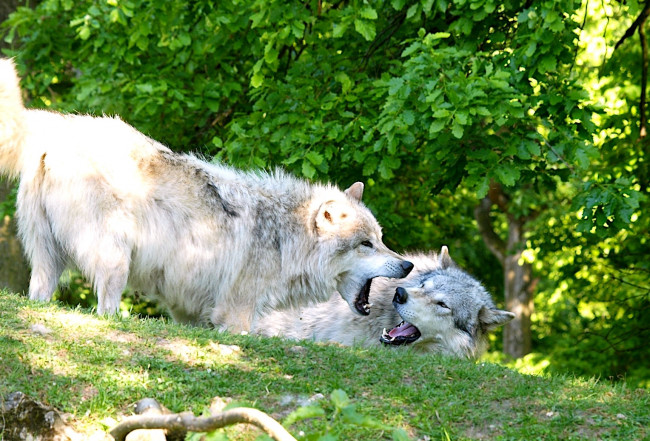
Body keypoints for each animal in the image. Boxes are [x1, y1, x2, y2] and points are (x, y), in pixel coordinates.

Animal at [0, 60, 410, 332]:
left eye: (381, 240)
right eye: (365, 244)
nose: (407, 265)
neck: (285, 239)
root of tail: (61, 126)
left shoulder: (190, 312)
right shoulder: (237, 315)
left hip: (47, 260)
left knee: (39, 296)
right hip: (114, 259)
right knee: (105, 309)